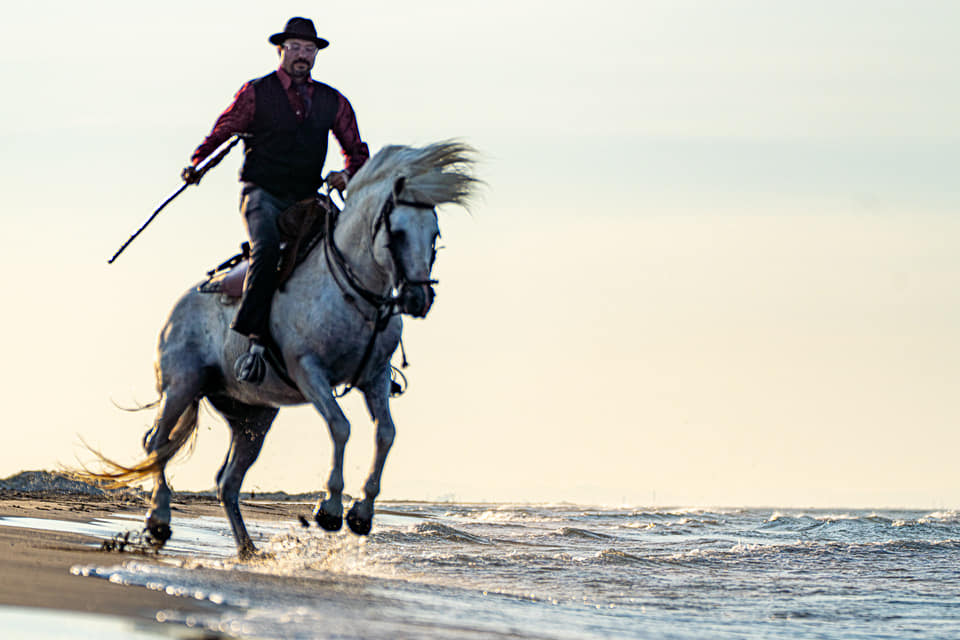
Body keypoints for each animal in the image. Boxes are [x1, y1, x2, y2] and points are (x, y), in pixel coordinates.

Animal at [88, 140, 478, 556]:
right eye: (398, 233)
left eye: (434, 233)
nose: (418, 299)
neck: (353, 293)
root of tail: (179, 307)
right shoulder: (309, 370)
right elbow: (340, 425)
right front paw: (330, 509)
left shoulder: (373, 378)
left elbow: (385, 433)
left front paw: (361, 513)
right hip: (182, 386)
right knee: (157, 443)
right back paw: (159, 519)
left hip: (252, 417)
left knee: (226, 480)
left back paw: (247, 549)